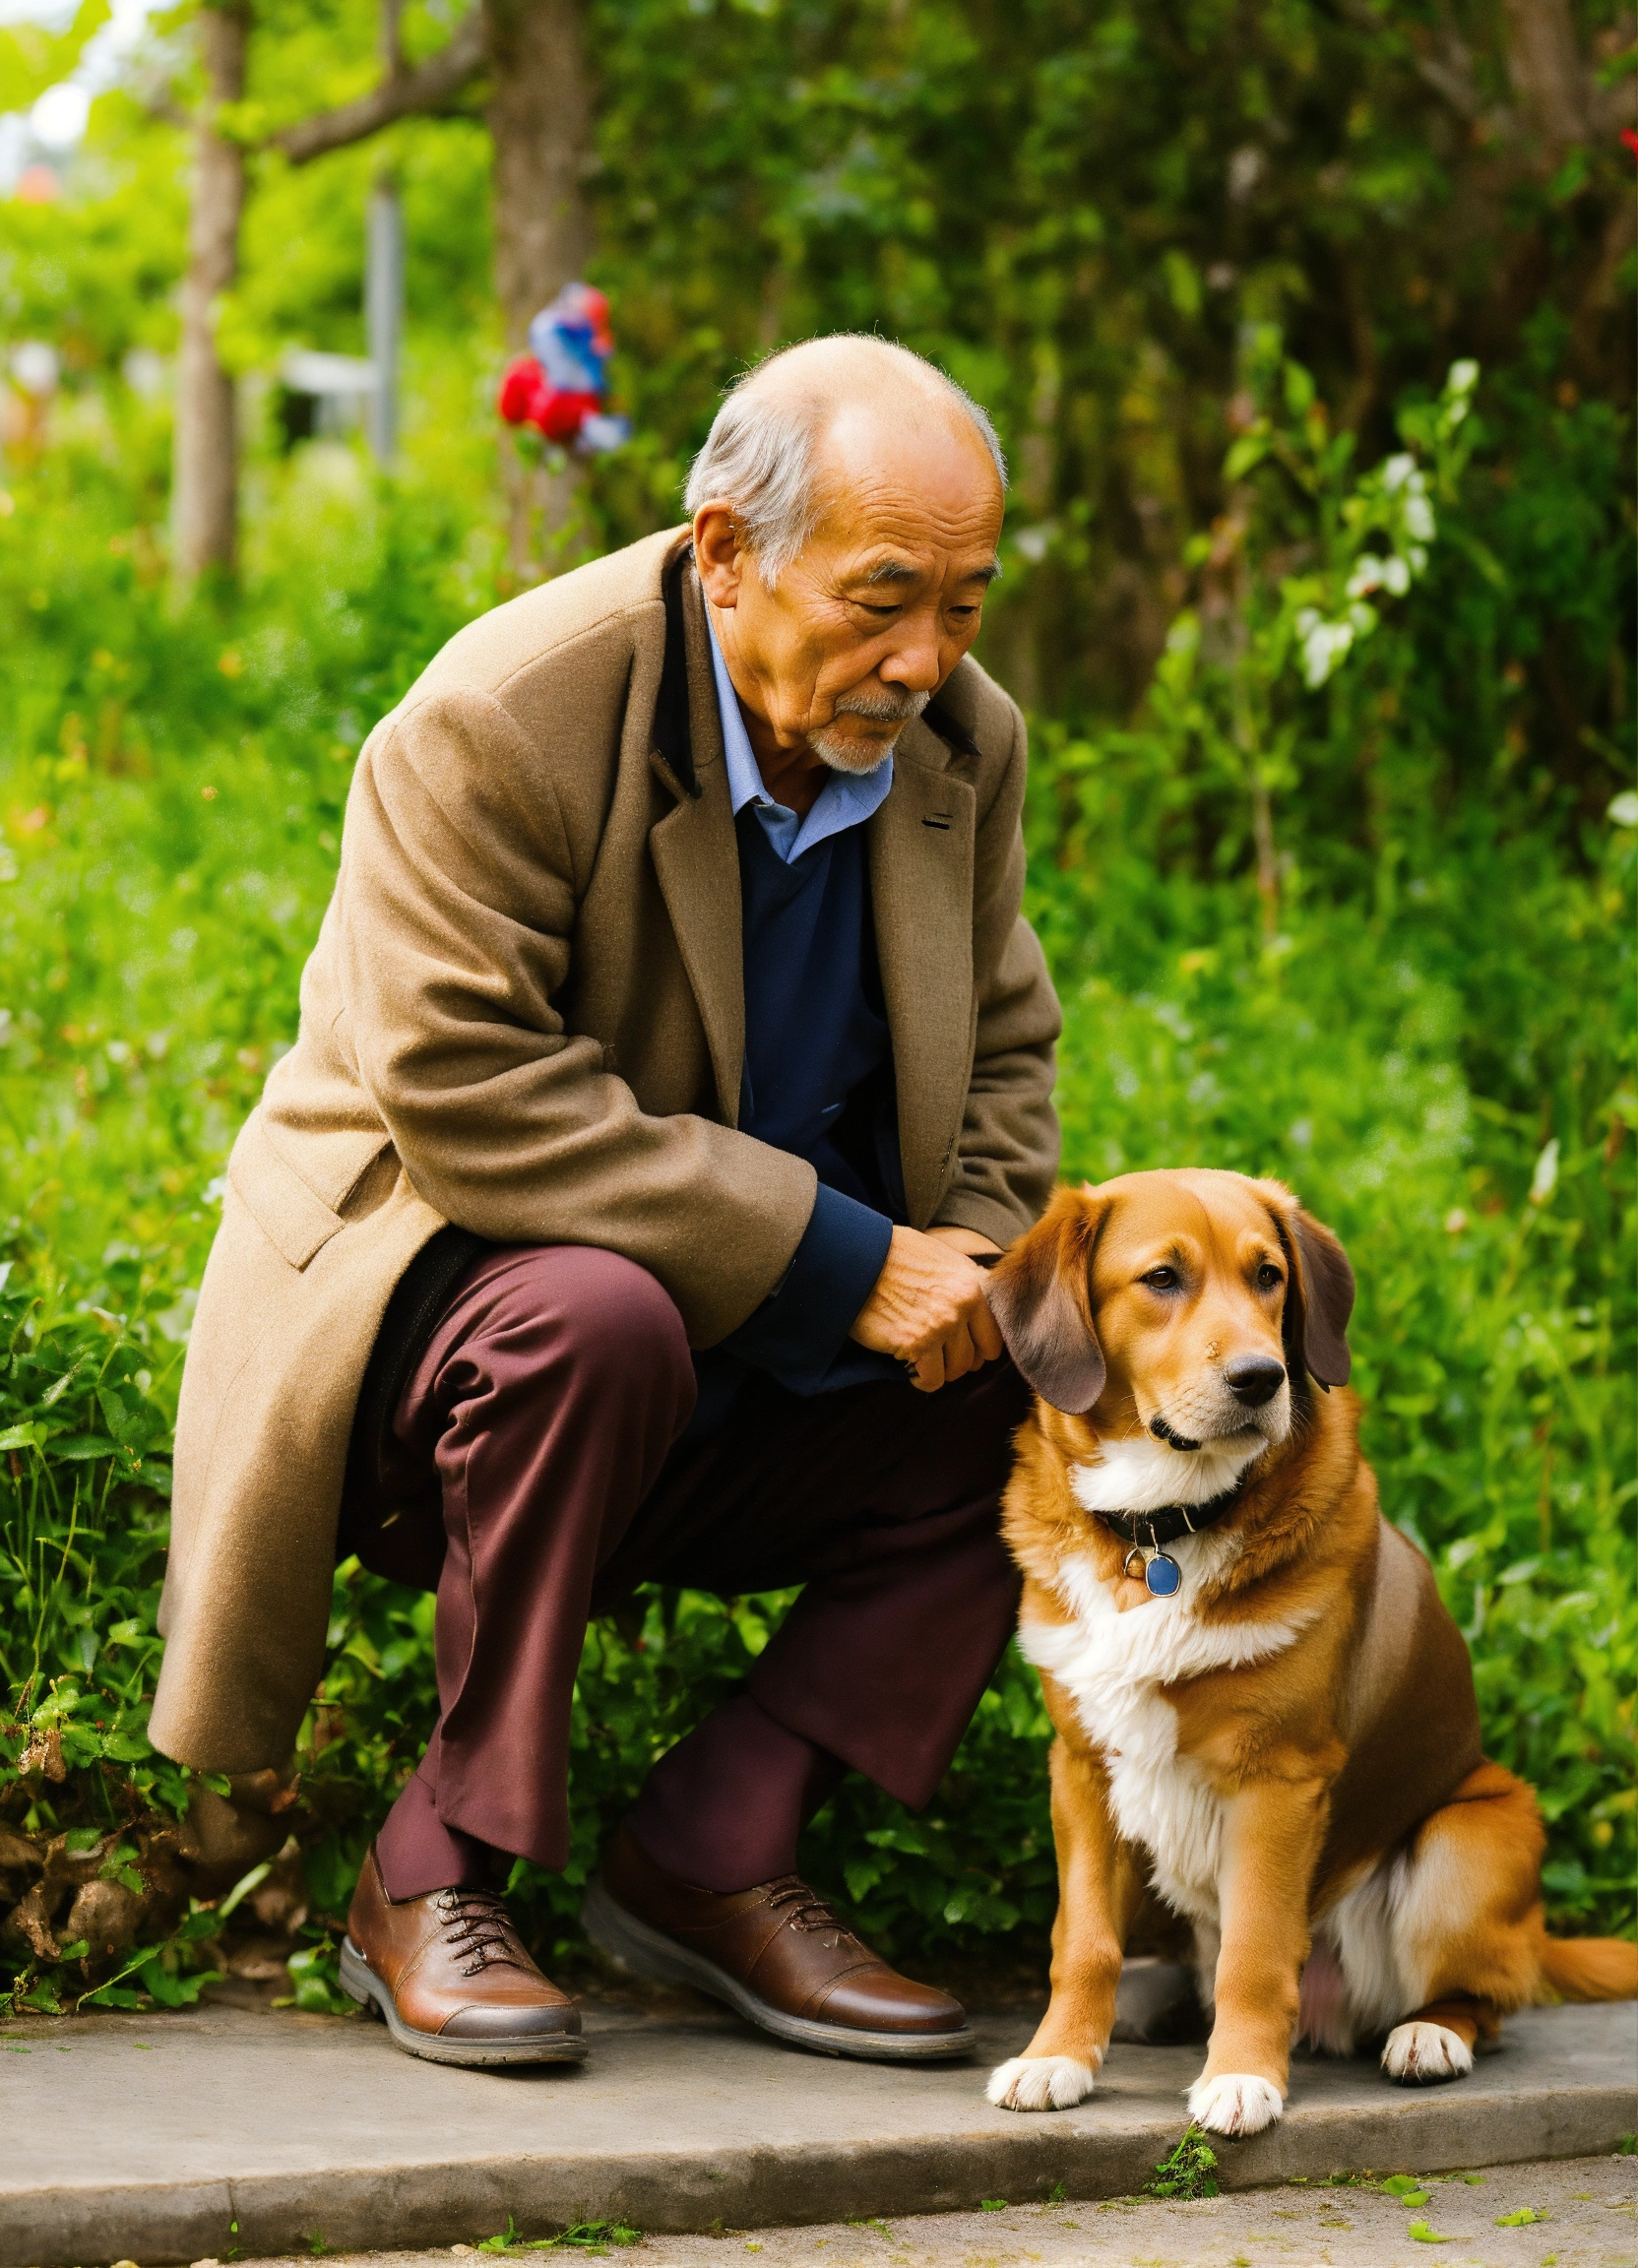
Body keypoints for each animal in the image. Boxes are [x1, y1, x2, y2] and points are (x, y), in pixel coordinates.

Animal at [976, 1179, 1624, 2131]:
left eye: (1268, 1276)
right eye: (1161, 1278)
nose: (1260, 1378)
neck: (1162, 1534)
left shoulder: (1277, 1780)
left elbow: (1254, 1950)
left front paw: (1243, 2076)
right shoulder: (1084, 1769)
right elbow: (1083, 1941)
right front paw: (1057, 2056)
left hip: (1470, 1838)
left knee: (1486, 1999)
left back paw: (1431, 2037)